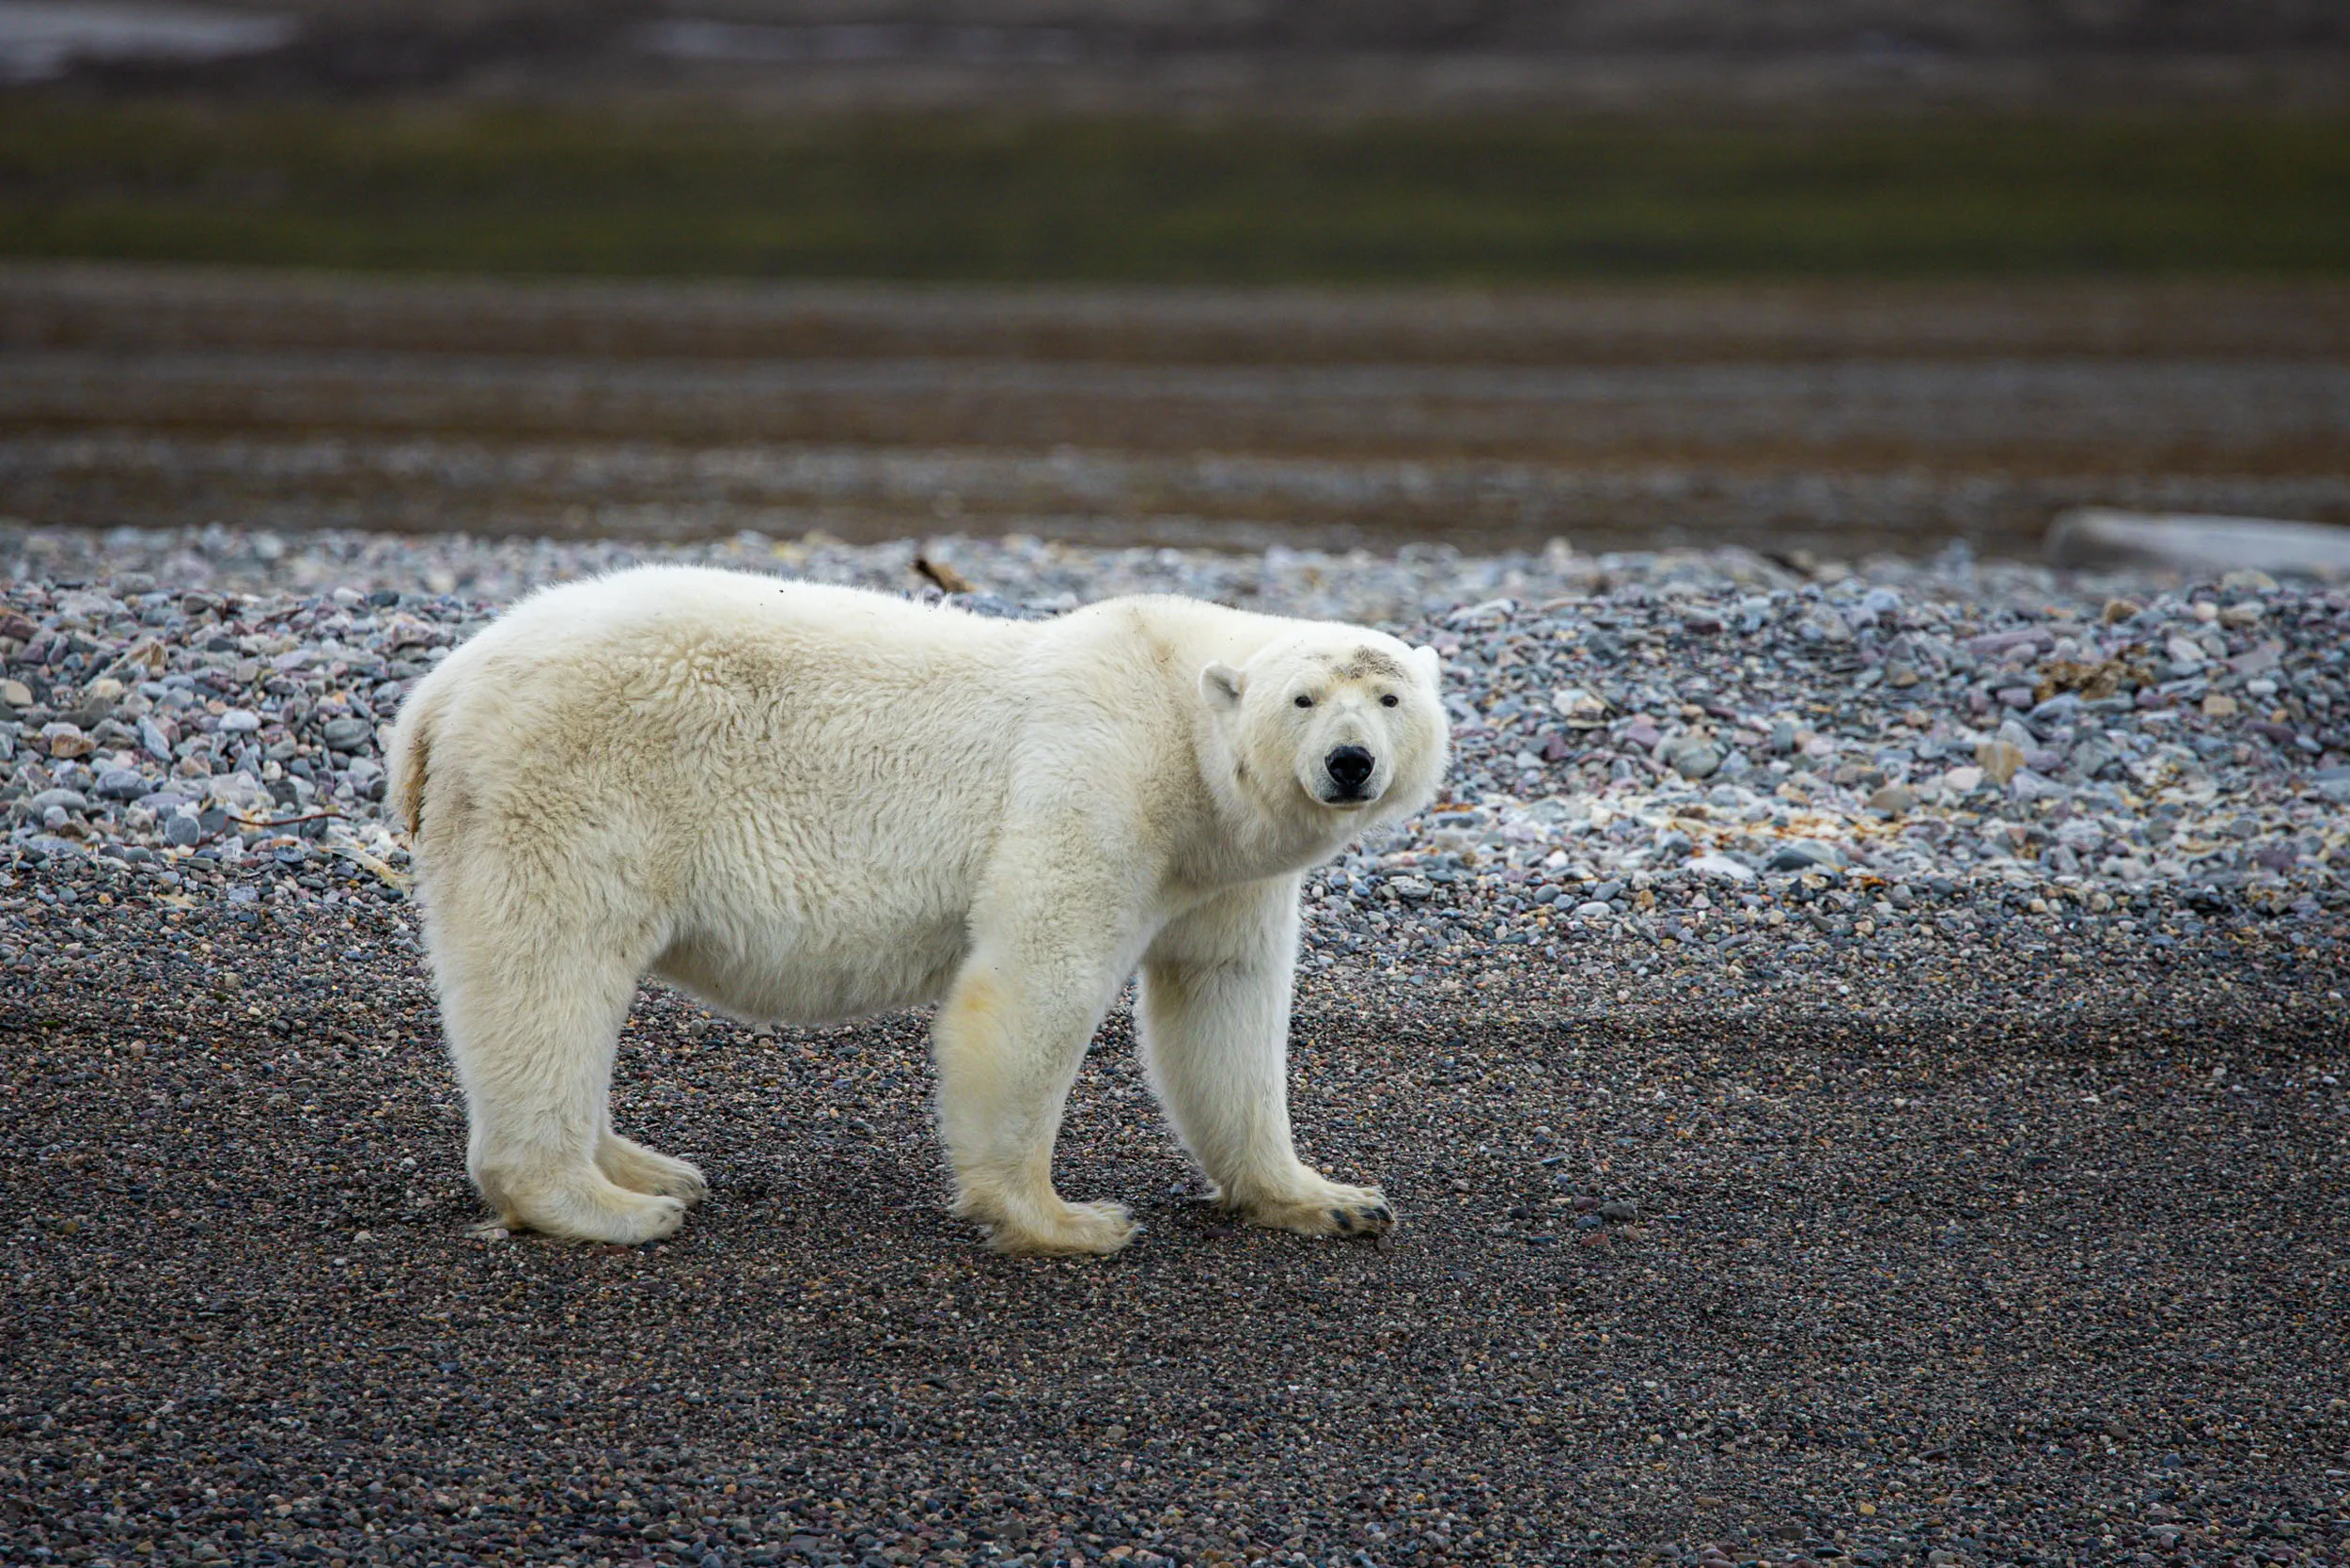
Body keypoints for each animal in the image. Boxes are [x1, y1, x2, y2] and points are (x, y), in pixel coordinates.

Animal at [387, 565, 1449, 1255]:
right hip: (572, 783)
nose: (1348, 763)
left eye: (1389, 697)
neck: (1178, 723)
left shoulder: (1223, 869)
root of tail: (435, 694)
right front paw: (1064, 1219)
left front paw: (1334, 1198)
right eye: (1303, 698)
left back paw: (649, 1167)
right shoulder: (1095, 779)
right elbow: (1034, 982)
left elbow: (1225, 1001)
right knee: (549, 971)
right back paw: (603, 1205)